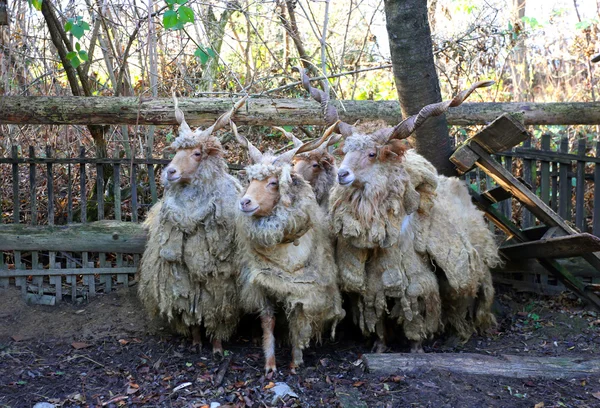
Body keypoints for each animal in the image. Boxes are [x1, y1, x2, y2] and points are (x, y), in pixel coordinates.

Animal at [138, 95, 246, 354]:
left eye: (197, 153)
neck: (190, 217)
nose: (170, 171)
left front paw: (217, 346)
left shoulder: (220, 281)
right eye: (177, 151)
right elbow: (189, 311)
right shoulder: (180, 278)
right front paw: (197, 342)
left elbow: (216, 312)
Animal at [234, 121, 346, 372]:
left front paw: (295, 361)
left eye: (273, 182)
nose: (245, 202)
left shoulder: (303, 291)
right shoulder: (262, 284)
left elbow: (298, 321)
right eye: (250, 181)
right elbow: (268, 322)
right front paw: (270, 365)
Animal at [298, 68, 500, 350]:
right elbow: (378, 312)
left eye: (373, 153)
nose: (342, 174)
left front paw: (416, 346)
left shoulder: (414, 277)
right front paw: (380, 346)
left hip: (472, 265)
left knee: (468, 293)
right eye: (345, 151)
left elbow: (416, 310)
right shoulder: (375, 281)